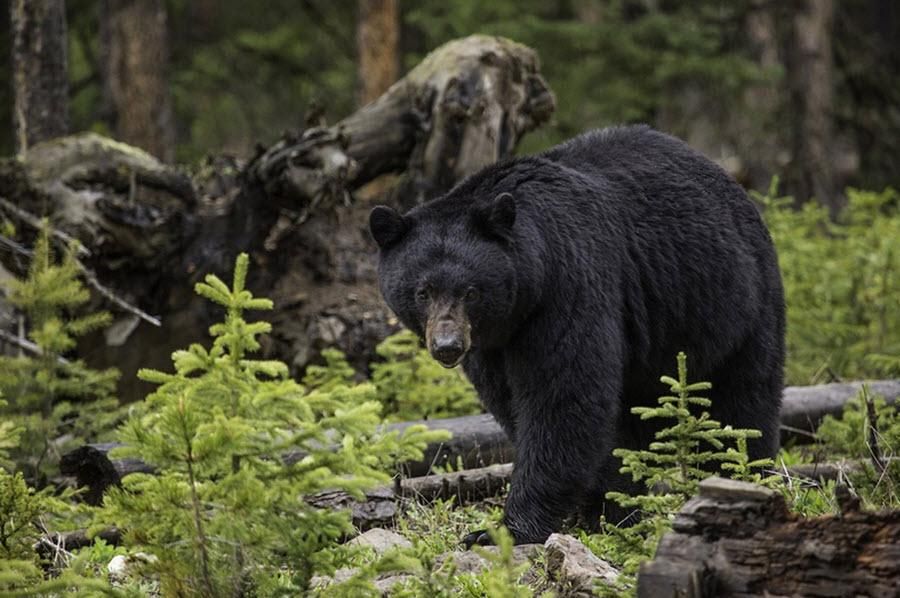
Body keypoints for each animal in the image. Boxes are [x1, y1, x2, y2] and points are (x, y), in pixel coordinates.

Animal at [369, 125, 785, 546]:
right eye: (422, 291)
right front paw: (597, 507)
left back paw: (740, 477)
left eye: (471, 291)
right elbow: (513, 402)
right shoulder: (492, 344)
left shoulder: (568, 287)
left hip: (736, 304)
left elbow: (563, 397)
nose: (447, 346)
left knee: (741, 402)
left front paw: (505, 529)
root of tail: (731, 182)